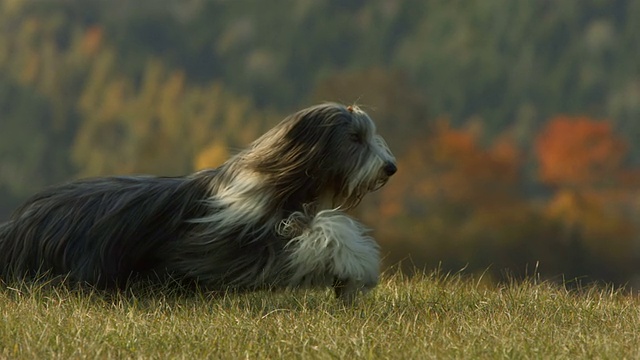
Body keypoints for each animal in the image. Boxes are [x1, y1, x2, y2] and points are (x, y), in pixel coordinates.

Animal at [0, 102, 396, 302]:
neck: (278, 181)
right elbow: (321, 233)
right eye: (355, 137)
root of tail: (14, 227)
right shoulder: (233, 249)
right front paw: (357, 269)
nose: (390, 168)